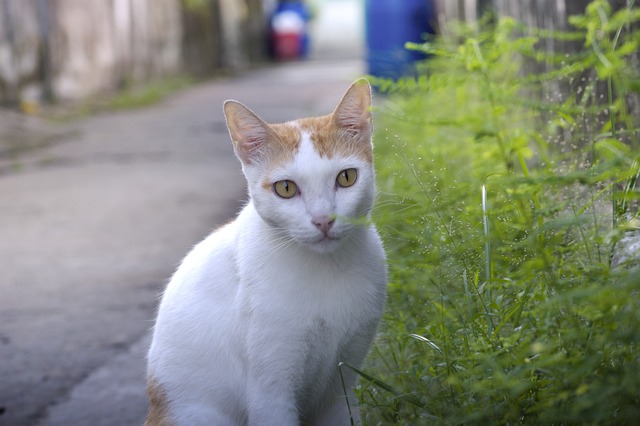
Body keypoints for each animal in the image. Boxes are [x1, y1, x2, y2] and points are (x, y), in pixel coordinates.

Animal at [146, 78, 384, 424]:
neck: (324, 269)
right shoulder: (270, 389)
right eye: (285, 188)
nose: (323, 220)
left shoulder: (342, 385)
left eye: (347, 177)